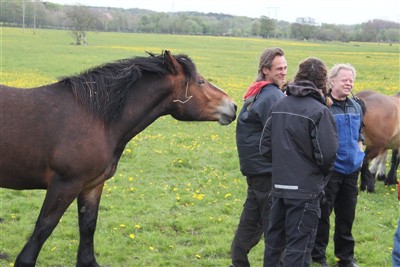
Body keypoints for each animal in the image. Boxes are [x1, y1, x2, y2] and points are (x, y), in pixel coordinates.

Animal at [0, 50, 238, 267]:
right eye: (200, 81)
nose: (233, 106)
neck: (97, 118)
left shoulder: (91, 185)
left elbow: (88, 225)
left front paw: (88, 261)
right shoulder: (65, 184)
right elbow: (45, 226)